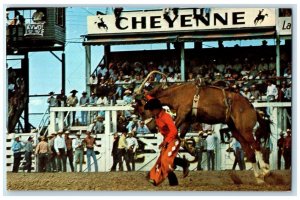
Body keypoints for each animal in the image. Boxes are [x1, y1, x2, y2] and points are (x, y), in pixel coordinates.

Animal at [132, 71, 274, 184]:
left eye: (142, 111)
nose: (151, 129)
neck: (177, 94)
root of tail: (252, 108)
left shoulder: (182, 115)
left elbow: (172, 136)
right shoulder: (187, 120)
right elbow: (179, 138)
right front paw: (190, 153)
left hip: (245, 129)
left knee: (256, 146)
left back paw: (266, 170)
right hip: (235, 130)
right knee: (249, 151)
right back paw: (259, 177)